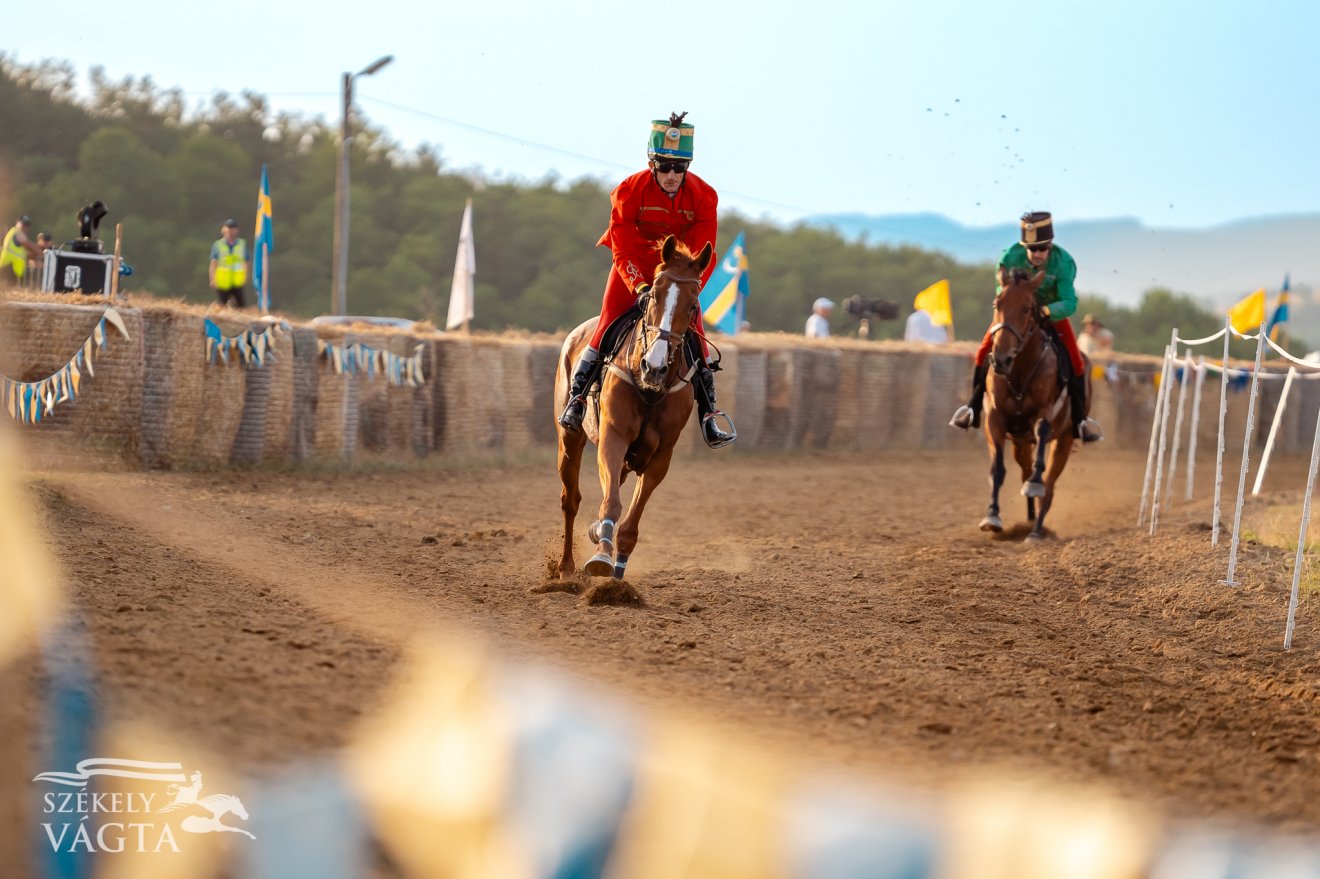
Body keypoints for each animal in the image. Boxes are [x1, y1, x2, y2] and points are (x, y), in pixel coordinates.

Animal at [554, 234, 712, 575]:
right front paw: (602, 556)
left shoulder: (661, 454)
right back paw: (565, 567)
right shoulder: (613, 437)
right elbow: (611, 502)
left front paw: (617, 567)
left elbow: (630, 521)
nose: (655, 366)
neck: (650, 388)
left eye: (693, 306)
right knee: (570, 499)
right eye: (653, 296)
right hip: (570, 437)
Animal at [976, 263, 1087, 538]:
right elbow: (997, 470)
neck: (1019, 370)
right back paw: (1029, 521)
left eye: (1027, 308)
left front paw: (1034, 484)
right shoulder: (995, 419)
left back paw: (1036, 531)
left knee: (1049, 485)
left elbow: (1042, 439)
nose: (1001, 358)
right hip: (1020, 442)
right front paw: (992, 517)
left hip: (1064, 440)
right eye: (997, 304)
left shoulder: (1044, 413)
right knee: (1025, 470)